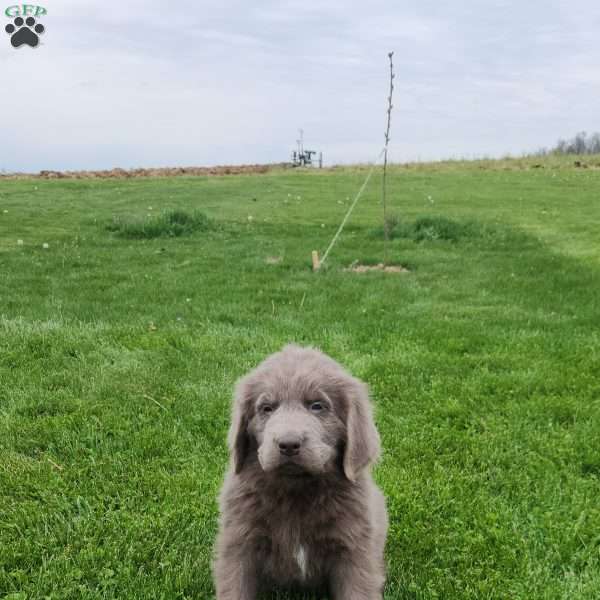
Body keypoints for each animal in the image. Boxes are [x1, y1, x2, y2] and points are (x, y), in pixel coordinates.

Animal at [213, 344, 386, 596]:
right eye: (267, 408)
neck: (296, 490)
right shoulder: (239, 542)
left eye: (317, 406)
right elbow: (235, 588)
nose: (288, 444)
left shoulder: (354, 548)